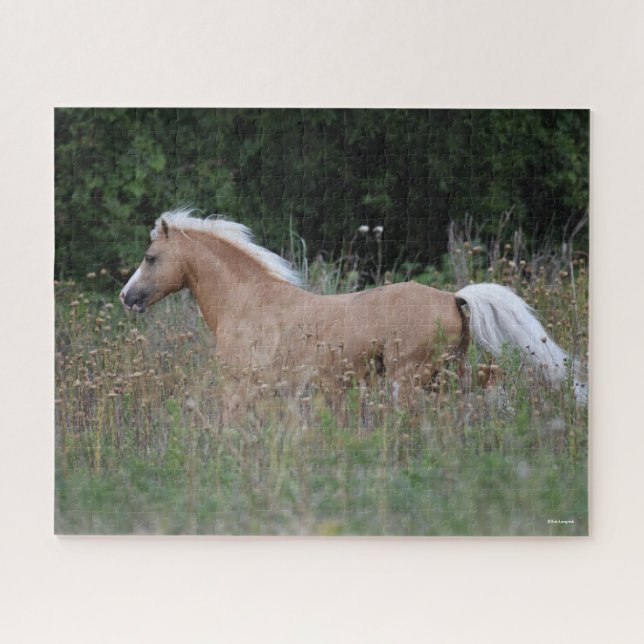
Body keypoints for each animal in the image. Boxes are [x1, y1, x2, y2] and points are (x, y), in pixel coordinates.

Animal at [120, 208, 588, 404]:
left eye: (150, 257)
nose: (127, 297)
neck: (248, 303)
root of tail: (453, 297)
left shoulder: (243, 385)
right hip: (449, 372)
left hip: (410, 377)